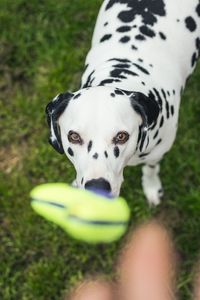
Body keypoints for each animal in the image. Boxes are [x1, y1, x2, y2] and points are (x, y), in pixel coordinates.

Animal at [45, 0, 200, 205]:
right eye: (74, 137)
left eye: (121, 136)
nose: (96, 188)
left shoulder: (157, 153)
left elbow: (151, 169)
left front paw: (152, 187)